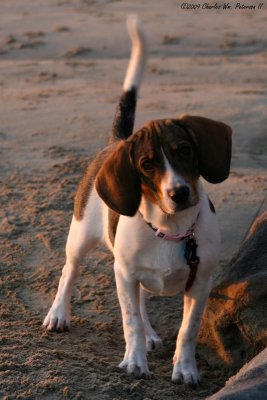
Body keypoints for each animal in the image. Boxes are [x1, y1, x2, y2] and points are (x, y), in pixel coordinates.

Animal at [43, 17, 232, 386]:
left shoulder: (200, 283)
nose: (179, 193)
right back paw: (58, 313)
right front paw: (134, 361)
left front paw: (185, 368)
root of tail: (116, 140)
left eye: (184, 151)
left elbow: (188, 330)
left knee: (144, 300)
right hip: (80, 236)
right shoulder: (124, 274)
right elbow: (130, 321)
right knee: (69, 271)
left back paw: (151, 334)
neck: (171, 229)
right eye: (146, 164)